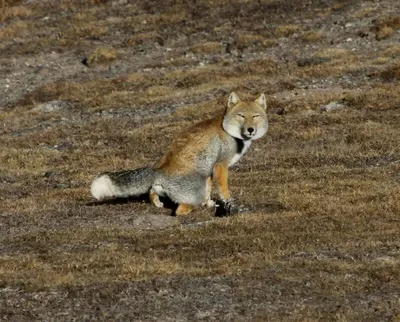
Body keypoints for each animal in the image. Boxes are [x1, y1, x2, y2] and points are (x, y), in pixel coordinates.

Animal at [90, 92, 268, 215]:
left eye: (255, 116)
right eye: (241, 116)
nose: (250, 130)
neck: (228, 131)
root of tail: (158, 171)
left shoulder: (209, 172)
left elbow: (209, 191)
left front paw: (210, 203)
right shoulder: (220, 165)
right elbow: (223, 189)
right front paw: (228, 201)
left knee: (152, 191)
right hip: (194, 194)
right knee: (180, 211)